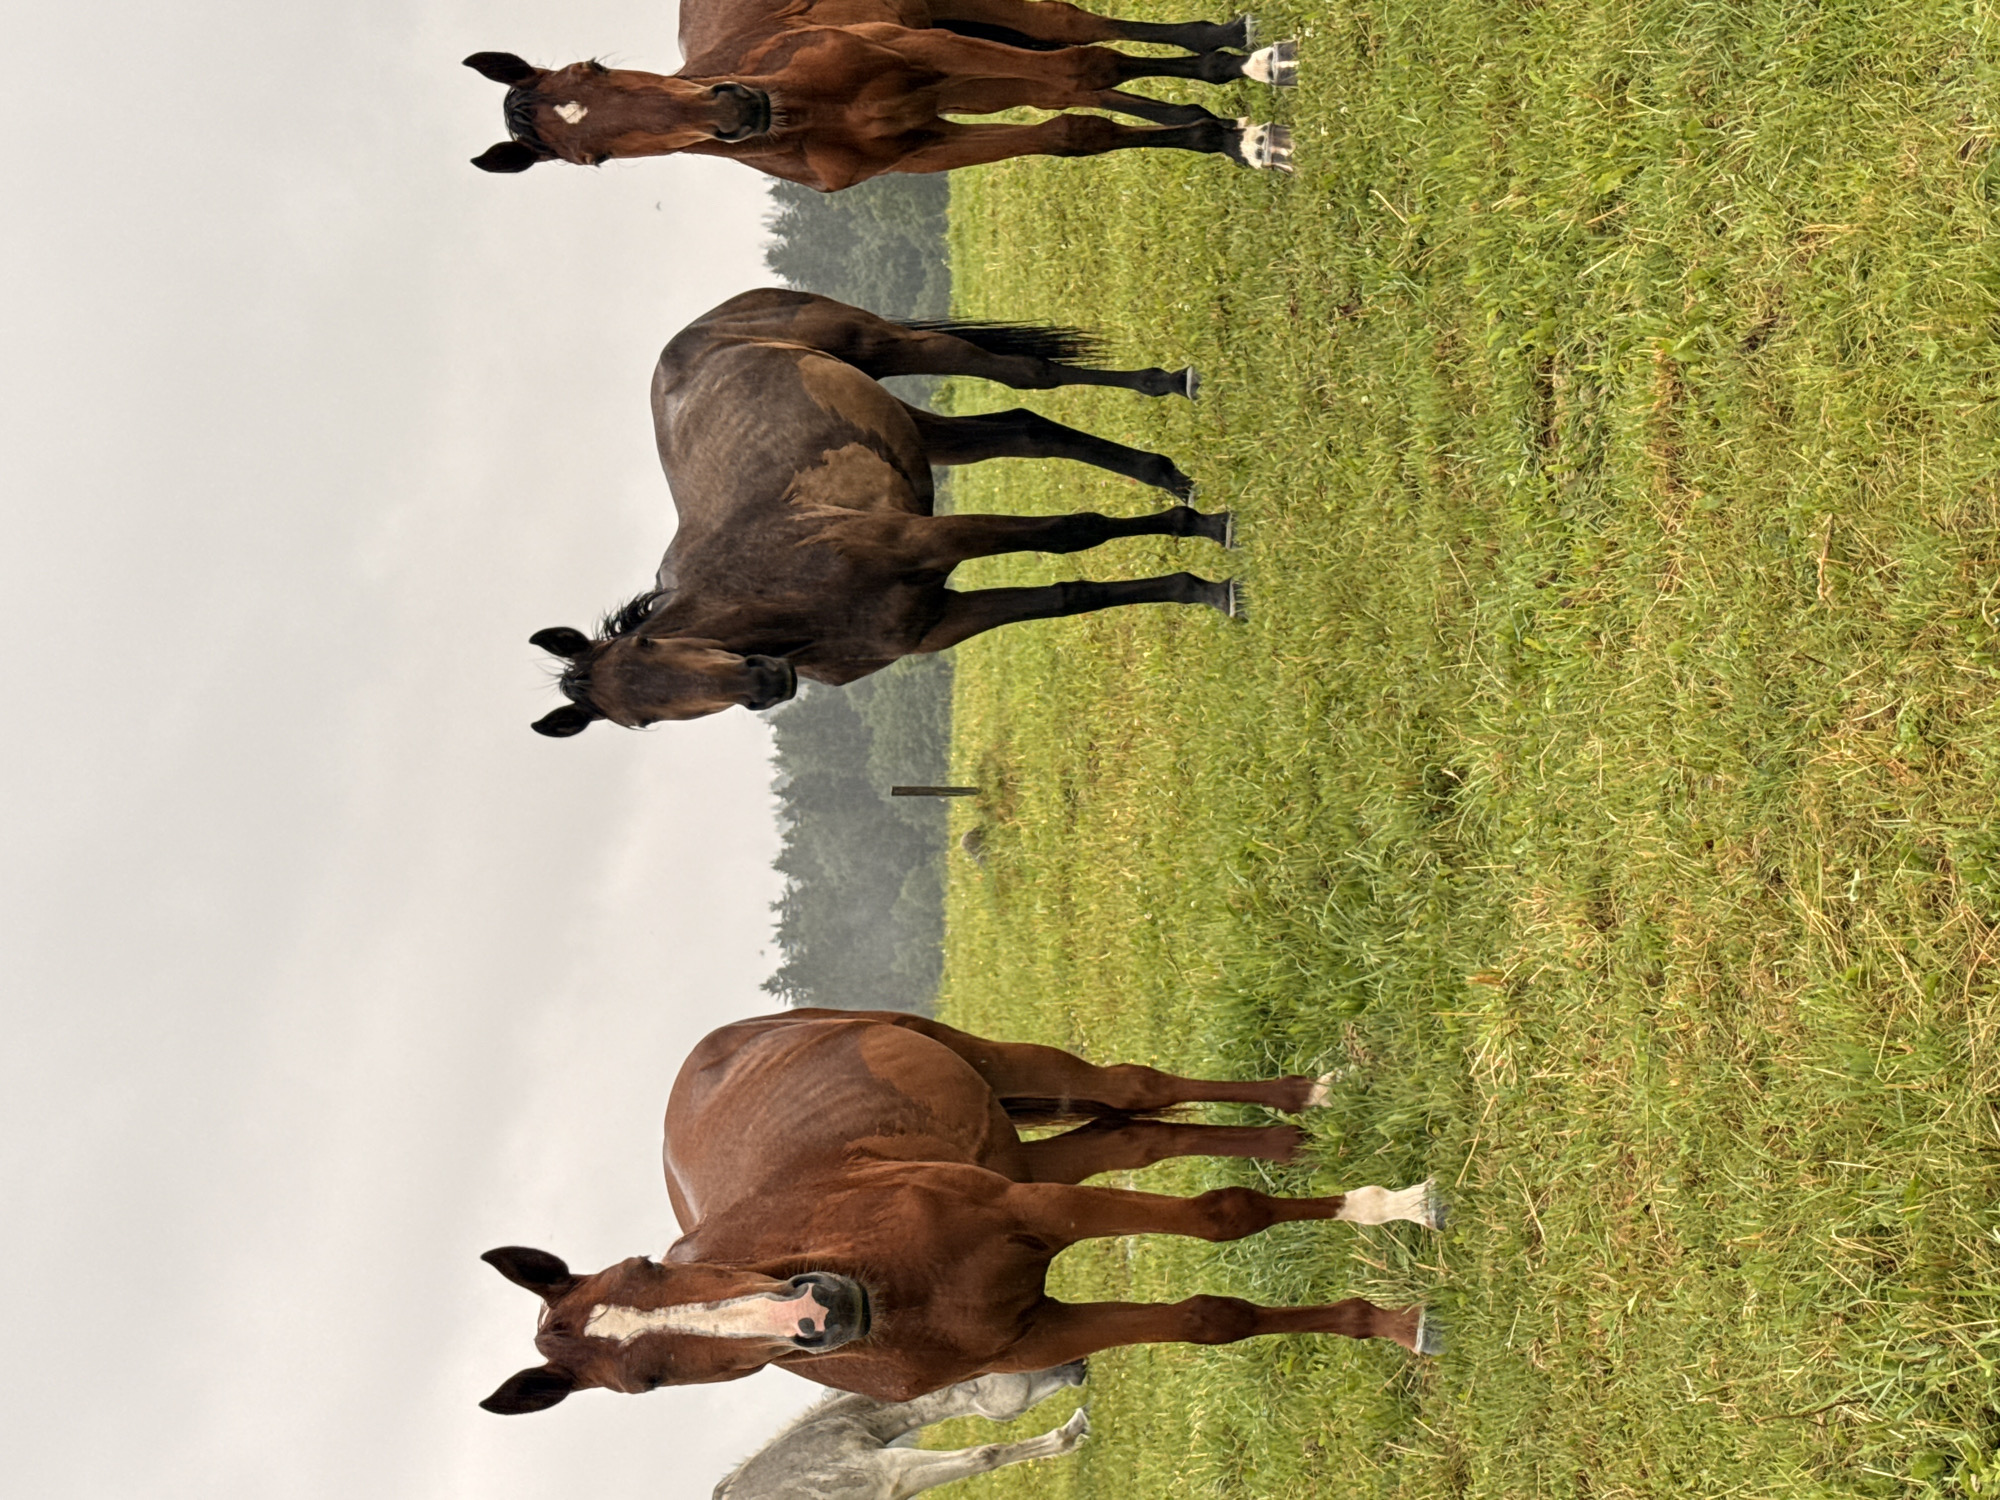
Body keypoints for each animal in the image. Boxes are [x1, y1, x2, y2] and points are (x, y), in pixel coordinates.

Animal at [478, 1009, 1447, 1412]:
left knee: (1136, 1090)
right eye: (644, 1383)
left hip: (1007, 1072)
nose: (815, 1311)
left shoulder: (1039, 1209)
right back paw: (1293, 1140)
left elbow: (1225, 1215)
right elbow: (1216, 1319)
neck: (895, 1291)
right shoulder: (1044, 1332)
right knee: (1140, 1136)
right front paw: (1388, 1322)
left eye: (652, 1267)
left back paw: (1308, 1099)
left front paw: (1395, 1208)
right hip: (1020, 1141)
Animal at [524, 288, 1244, 738]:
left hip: (884, 346)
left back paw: (1169, 386)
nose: (765, 683)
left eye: (648, 642)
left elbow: (1074, 532)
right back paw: (1167, 474)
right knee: (1025, 427)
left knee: (1026, 376)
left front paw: (1208, 542)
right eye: (638, 721)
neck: (788, 592)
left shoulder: (927, 540)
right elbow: (1072, 594)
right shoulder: (941, 622)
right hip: (912, 429)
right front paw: (1200, 581)